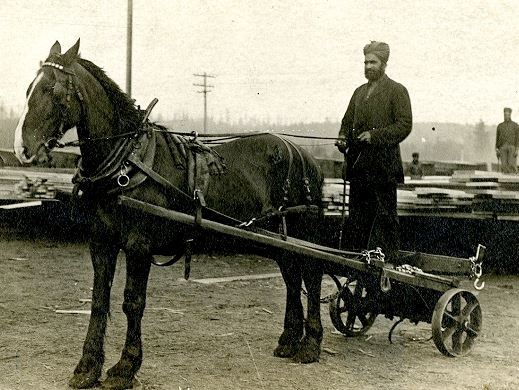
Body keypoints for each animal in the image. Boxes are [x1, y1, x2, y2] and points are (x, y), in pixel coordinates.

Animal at [14, 40, 324, 390]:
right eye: (29, 88)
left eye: (52, 89)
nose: (22, 148)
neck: (126, 162)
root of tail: (303, 154)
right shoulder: (101, 241)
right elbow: (98, 300)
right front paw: (87, 367)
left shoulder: (139, 245)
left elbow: (132, 302)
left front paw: (125, 367)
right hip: (279, 237)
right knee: (291, 276)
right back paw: (289, 339)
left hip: (304, 230)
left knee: (311, 274)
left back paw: (310, 345)